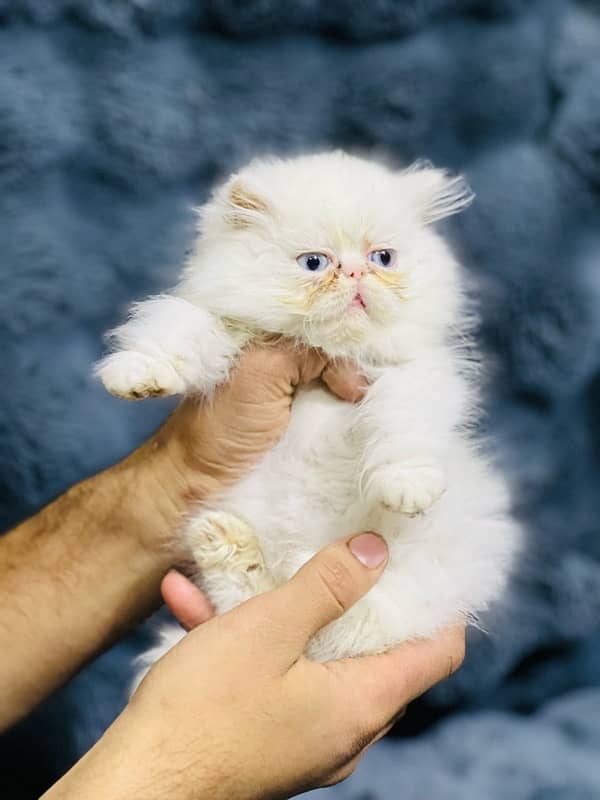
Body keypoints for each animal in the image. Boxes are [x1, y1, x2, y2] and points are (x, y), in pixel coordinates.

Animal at [96, 152, 516, 680]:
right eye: (314, 263)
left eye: (383, 259)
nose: (356, 273)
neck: (332, 355)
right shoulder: (233, 334)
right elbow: (178, 330)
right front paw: (136, 375)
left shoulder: (411, 374)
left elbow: (402, 423)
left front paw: (406, 486)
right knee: (257, 604)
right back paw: (228, 545)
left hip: (437, 564)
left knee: (361, 624)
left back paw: (302, 562)